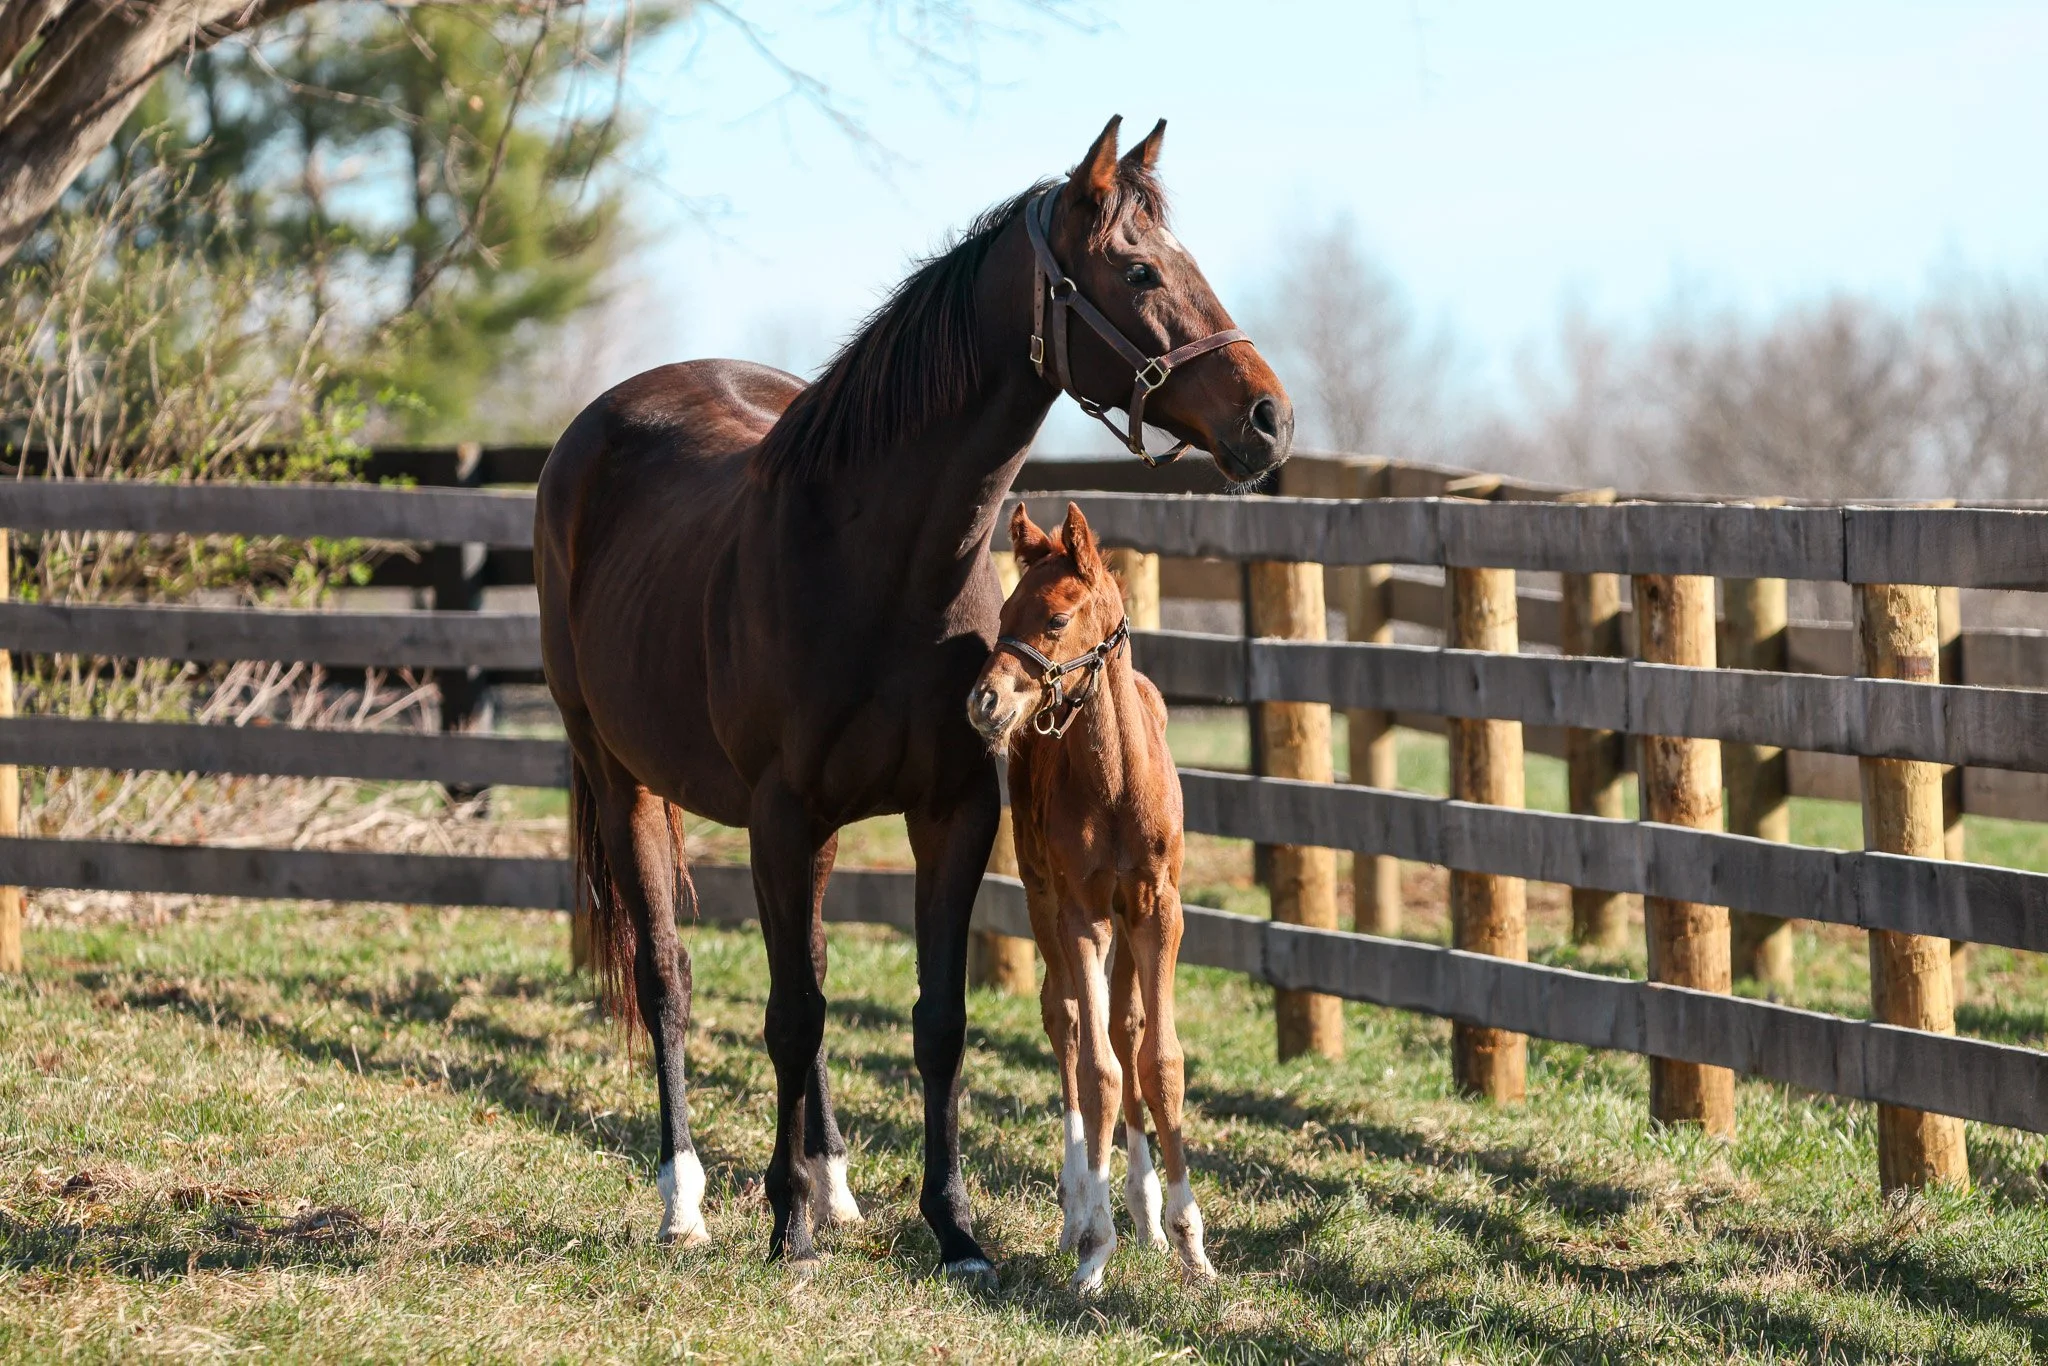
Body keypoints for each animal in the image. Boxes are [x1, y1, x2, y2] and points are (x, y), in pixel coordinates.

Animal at [965, 501, 1211, 1293]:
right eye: (1003, 612)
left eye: (1054, 618)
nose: (984, 702)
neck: (1117, 784)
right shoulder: (1080, 913)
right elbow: (1096, 1069)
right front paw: (1094, 1247)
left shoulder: (1159, 911)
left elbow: (1157, 1060)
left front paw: (1190, 1242)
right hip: (1043, 899)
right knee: (1068, 1021)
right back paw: (1080, 1209)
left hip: (1129, 924)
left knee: (1125, 1027)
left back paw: (1145, 1214)